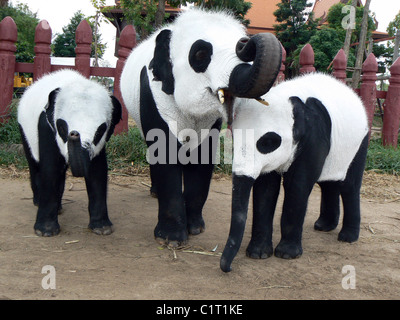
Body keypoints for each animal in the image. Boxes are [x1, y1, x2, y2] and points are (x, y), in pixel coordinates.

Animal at [17, 69, 122, 236]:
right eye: (62, 127)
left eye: (100, 131)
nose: (74, 134)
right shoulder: (46, 125)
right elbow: (50, 168)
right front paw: (45, 231)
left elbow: (97, 170)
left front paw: (102, 228)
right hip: (24, 129)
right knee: (34, 164)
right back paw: (38, 202)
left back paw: (58, 207)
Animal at [120, 8, 282, 246]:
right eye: (200, 55)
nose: (245, 42)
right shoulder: (152, 93)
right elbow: (164, 154)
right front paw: (171, 239)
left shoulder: (212, 121)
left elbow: (203, 158)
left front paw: (195, 228)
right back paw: (155, 193)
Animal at [220, 73, 370, 272]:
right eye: (234, 140)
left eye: (267, 142)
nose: (229, 268)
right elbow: (266, 188)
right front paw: (258, 254)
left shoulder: (314, 136)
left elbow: (297, 185)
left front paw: (287, 254)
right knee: (329, 183)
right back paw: (324, 226)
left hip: (359, 142)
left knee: (349, 185)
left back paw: (348, 237)